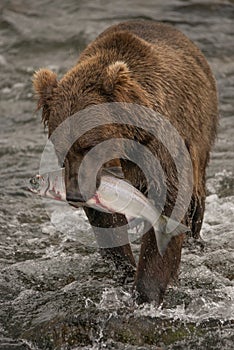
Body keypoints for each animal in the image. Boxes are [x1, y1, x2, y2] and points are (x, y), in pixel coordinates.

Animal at [33, 20, 219, 304]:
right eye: (61, 148)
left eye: (88, 144)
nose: (75, 195)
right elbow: (106, 218)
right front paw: (124, 269)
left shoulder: (158, 146)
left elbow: (169, 198)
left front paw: (146, 291)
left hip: (201, 131)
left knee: (196, 195)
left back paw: (194, 239)